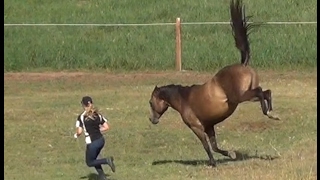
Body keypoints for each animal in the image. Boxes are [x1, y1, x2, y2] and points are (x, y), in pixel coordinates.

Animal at [149, 0, 278, 167]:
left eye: (150, 102)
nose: (152, 120)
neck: (184, 99)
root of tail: (243, 64)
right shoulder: (210, 126)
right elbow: (215, 146)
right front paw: (231, 154)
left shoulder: (197, 127)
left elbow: (206, 146)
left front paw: (213, 163)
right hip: (249, 96)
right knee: (266, 92)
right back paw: (272, 113)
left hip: (241, 96)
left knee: (261, 92)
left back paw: (267, 112)